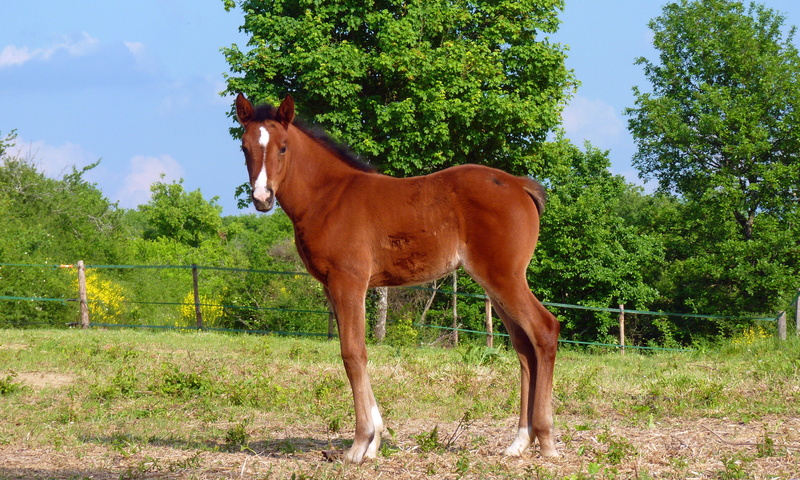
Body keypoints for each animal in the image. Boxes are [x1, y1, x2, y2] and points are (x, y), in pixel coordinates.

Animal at [234, 93, 560, 463]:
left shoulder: (349, 281)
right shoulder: (332, 286)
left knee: (544, 330)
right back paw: (519, 442)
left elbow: (353, 354)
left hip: (504, 276)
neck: (328, 196)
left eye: (283, 147)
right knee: (524, 346)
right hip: (495, 282)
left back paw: (546, 440)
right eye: (244, 147)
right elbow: (357, 351)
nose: (262, 198)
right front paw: (375, 442)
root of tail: (519, 184)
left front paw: (359, 444)